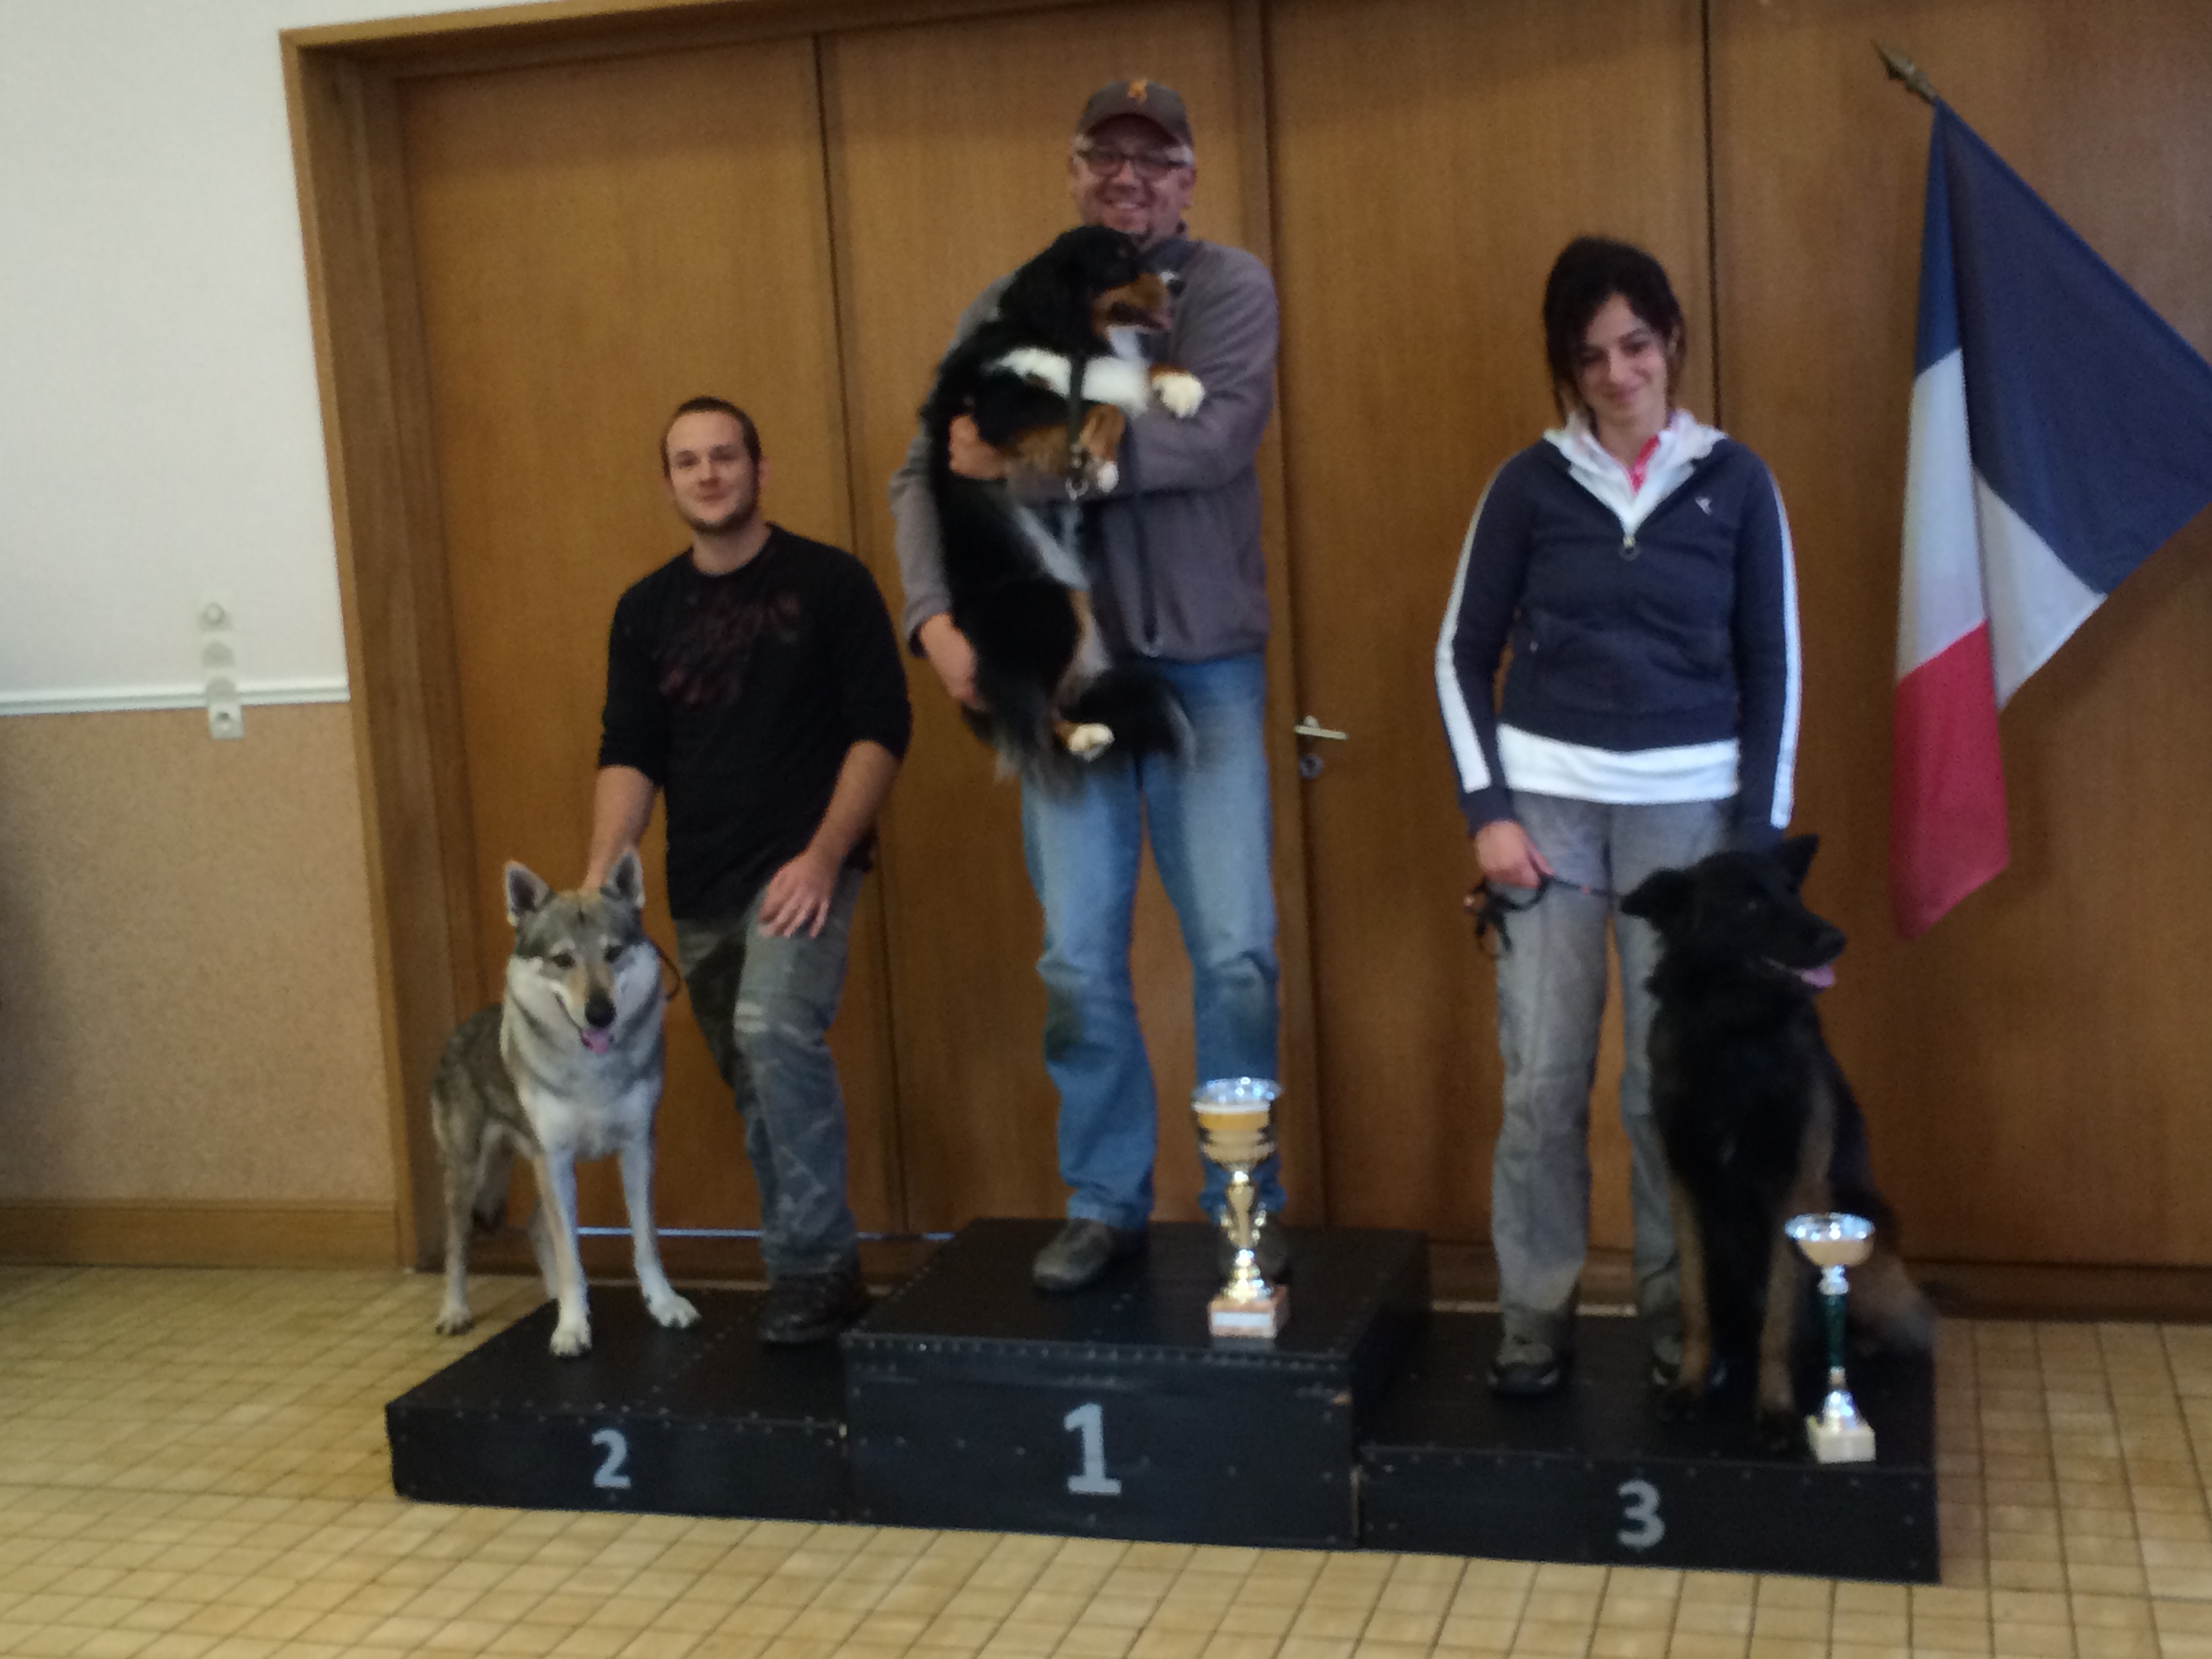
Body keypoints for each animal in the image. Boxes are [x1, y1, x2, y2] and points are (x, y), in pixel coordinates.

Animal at [430, 850, 700, 1357]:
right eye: (562, 960)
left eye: (612, 953)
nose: (600, 1013)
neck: (590, 1071)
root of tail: (459, 1030)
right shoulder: (554, 1159)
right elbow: (570, 1253)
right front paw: (572, 1328)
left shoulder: (637, 1148)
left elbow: (645, 1242)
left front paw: (663, 1304)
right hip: (472, 1175)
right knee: (458, 1246)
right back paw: (455, 1313)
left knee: (537, 1226)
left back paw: (554, 1297)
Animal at [923, 223, 1205, 772]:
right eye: (1119, 261)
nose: (1180, 283)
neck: (1063, 337)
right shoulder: (1003, 405)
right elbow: (1100, 407)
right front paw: (1098, 462)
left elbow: (1128, 381)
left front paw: (1183, 385)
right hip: (1048, 604)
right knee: (1030, 711)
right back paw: (1080, 737)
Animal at [1620, 836, 1932, 1443]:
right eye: (1750, 905)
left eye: (1793, 892)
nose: (1836, 939)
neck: (1734, 1038)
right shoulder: (1686, 1186)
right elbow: (1695, 1305)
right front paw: (1689, 1385)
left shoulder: (1795, 1192)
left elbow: (1780, 1319)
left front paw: (1777, 1409)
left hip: (1866, 1248)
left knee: (1904, 1329)